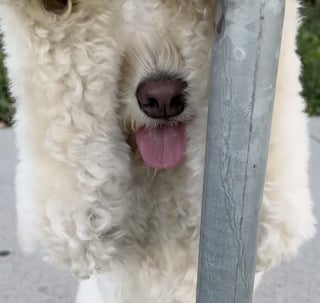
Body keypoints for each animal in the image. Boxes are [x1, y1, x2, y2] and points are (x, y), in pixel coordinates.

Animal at [0, 0, 316, 302]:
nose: (162, 98)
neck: (158, 177)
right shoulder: (75, 222)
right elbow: (68, 84)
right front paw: (56, 7)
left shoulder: (264, 219)